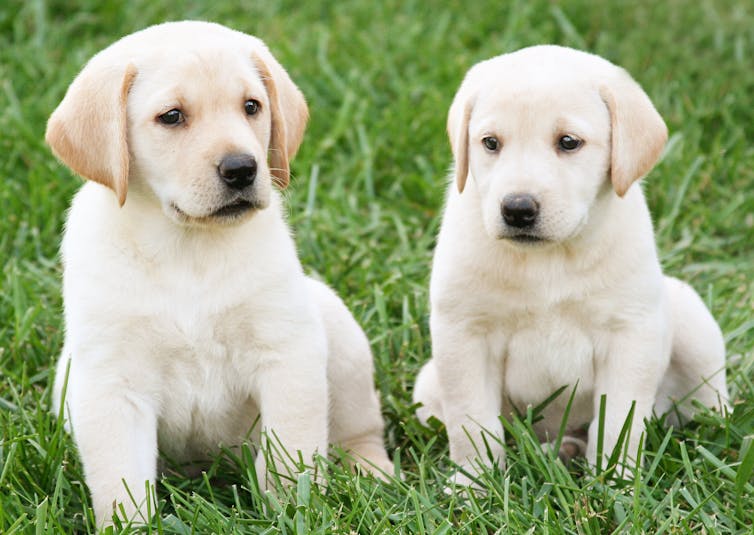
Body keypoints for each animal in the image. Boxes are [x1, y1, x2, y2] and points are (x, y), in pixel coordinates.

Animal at [47, 22, 390, 528]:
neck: (188, 248)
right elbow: (121, 479)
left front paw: (295, 513)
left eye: (251, 106)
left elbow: (291, 452)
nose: (242, 168)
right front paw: (132, 526)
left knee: (359, 428)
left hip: (338, 336)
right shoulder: (112, 383)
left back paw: (372, 471)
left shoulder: (286, 354)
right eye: (172, 117)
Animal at [412, 46, 728, 486]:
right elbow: (472, 423)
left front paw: (613, 482)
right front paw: (473, 485)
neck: (550, 258)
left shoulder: (629, 333)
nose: (517, 209)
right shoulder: (464, 333)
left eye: (568, 142)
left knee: (709, 402)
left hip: (690, 320)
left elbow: (618, 422)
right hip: (428, 386)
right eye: (490, 143)